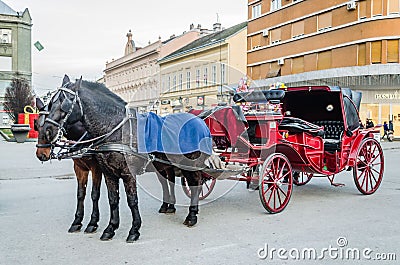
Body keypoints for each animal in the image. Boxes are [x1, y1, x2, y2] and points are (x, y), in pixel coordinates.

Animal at [34, 98, 103, 232]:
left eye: (49, 131)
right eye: (36, 126)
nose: (41, 154)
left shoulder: (97, 168)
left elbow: (94, 194)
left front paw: (93, 222)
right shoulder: (79, 168)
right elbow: (80, 193)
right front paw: (77, 221)